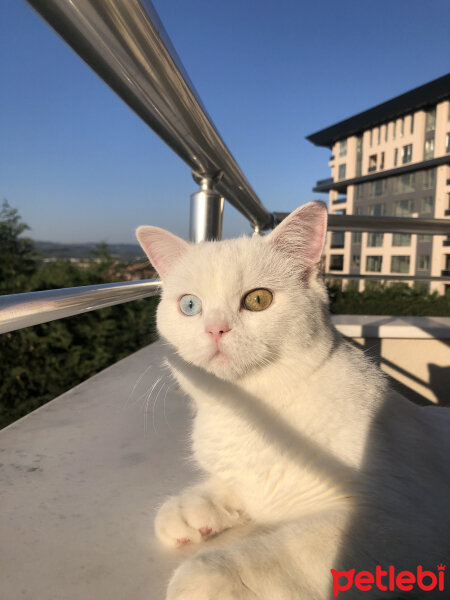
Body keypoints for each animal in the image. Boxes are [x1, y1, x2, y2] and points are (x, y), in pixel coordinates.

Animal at [137, 203, 450, 600]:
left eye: (258, 300)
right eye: (190, 305)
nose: (215, 329)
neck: (250, 414)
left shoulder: (397, 521)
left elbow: (284, 554)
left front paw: (202, 579)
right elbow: (236, 489)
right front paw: (190, 508)